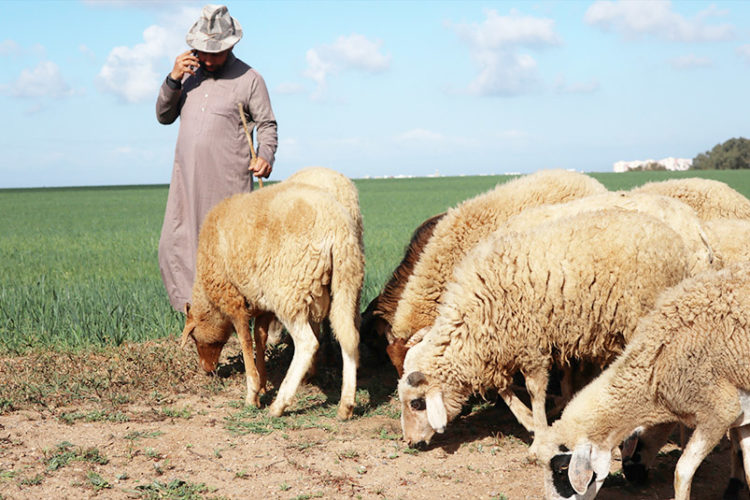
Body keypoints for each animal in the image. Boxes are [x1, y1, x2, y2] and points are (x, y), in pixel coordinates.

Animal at [180, 180, 364, 419]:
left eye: (194, 338)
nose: (206, 369)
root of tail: (336, 227)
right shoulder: (263, 306)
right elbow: (260, 337)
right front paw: (263, 384)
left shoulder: (234, 300)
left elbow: (245, 341)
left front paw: (252, 394)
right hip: (347, 284)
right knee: (349, 337)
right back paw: (346, 405)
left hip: (290, 293)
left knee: (307, 344)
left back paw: (279, 405)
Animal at [397, 209, 690, 452]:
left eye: (417, 403)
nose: (411, 443)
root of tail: (675, 241)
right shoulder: (501, 346)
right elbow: (504, 390)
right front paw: (529, 421)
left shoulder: (531, 344)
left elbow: (535, 391)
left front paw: (539, 438)